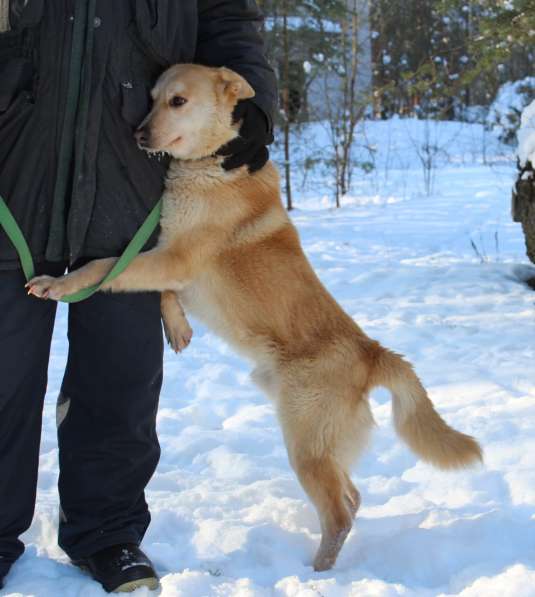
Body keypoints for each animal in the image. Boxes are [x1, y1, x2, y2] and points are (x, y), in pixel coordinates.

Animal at [27, 62, 484, 572]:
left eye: (178, 101)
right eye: (152, 97)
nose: (139, 134)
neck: (208, 167)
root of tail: (371, 353)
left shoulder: (172, 258)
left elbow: (102, 267)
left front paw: (59, 283)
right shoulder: (169, 259)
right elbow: (159, 290)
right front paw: (177, 326)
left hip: (305, 445)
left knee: (339, 513)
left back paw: (316, 573)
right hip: (321, 445)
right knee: (353, 497)